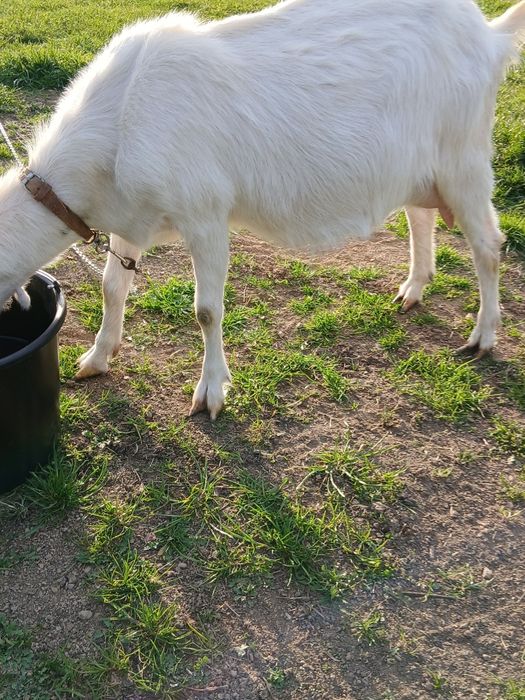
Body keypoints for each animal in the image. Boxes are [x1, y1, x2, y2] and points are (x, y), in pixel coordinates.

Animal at [1, 0, 525, 418]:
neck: (119, 122)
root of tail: (489, 35)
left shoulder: (206, 214)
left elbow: (206, 310)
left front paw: (211, 392)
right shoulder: (131, 220)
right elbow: (113, 288)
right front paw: (95, 359)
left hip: (464, 158)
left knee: (488, 245)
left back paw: (483, 335)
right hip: (418, 167)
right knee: (421, 215)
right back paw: (414, 288)